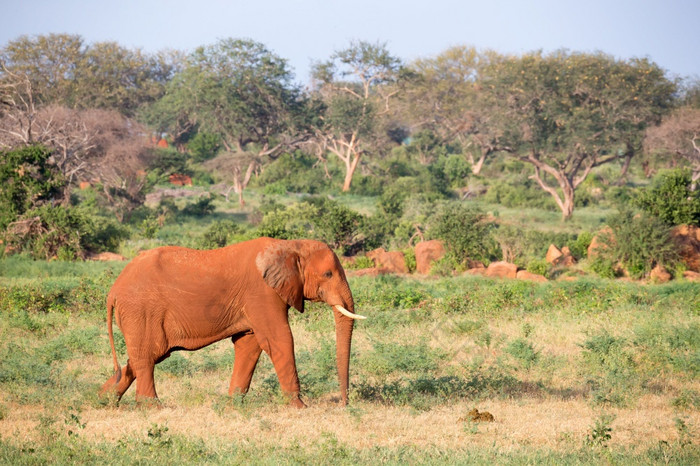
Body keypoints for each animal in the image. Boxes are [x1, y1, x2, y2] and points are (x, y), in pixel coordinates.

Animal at [102, 238, 370, 406]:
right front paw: (299, 407)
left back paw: (103, 400)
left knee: (140, 358)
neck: (290, 245)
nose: (343, 404)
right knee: (148, 356)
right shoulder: (262, 293)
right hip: (141, 310)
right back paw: (152, 407)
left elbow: (249, 345)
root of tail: (113, 290)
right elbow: (279, 339)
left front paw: (233, 406)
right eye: (328, 274)